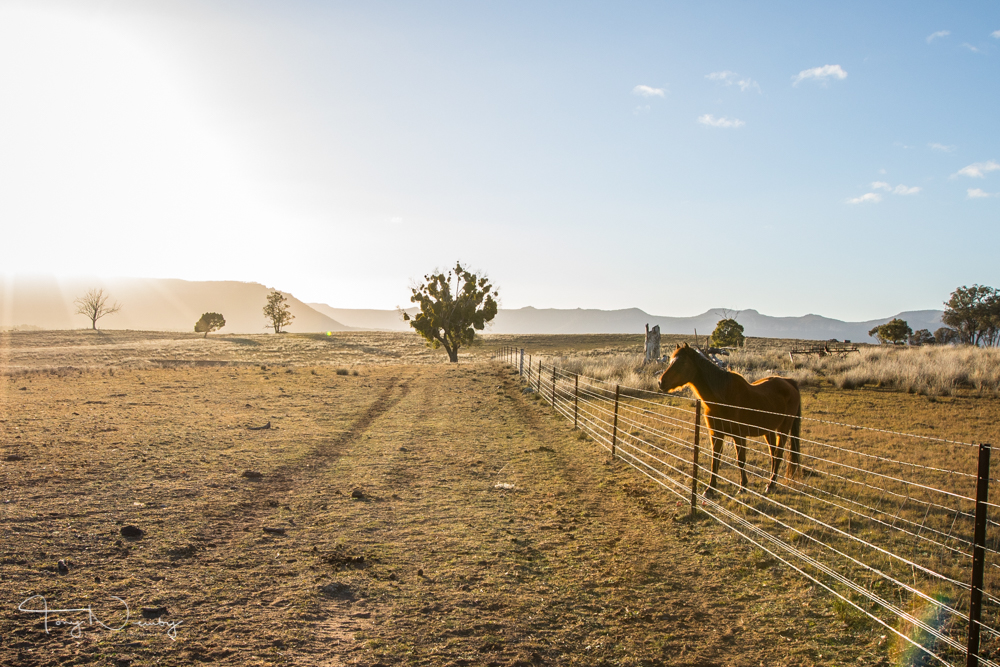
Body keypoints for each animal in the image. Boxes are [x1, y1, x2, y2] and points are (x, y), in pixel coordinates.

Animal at [656, 344, 804, 496]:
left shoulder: (739, 435)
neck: (723, 398)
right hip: (769, 431)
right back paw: (770, 482)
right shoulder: (716, 434)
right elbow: (715, 459)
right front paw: (710, 488)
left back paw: (771, 485)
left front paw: (743, 487)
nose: (661, 382)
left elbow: (741, 460)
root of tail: (789, 382)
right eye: (670, 361)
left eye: (681, 362)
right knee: (773, 454)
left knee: (778, 455)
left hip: (783, 429)